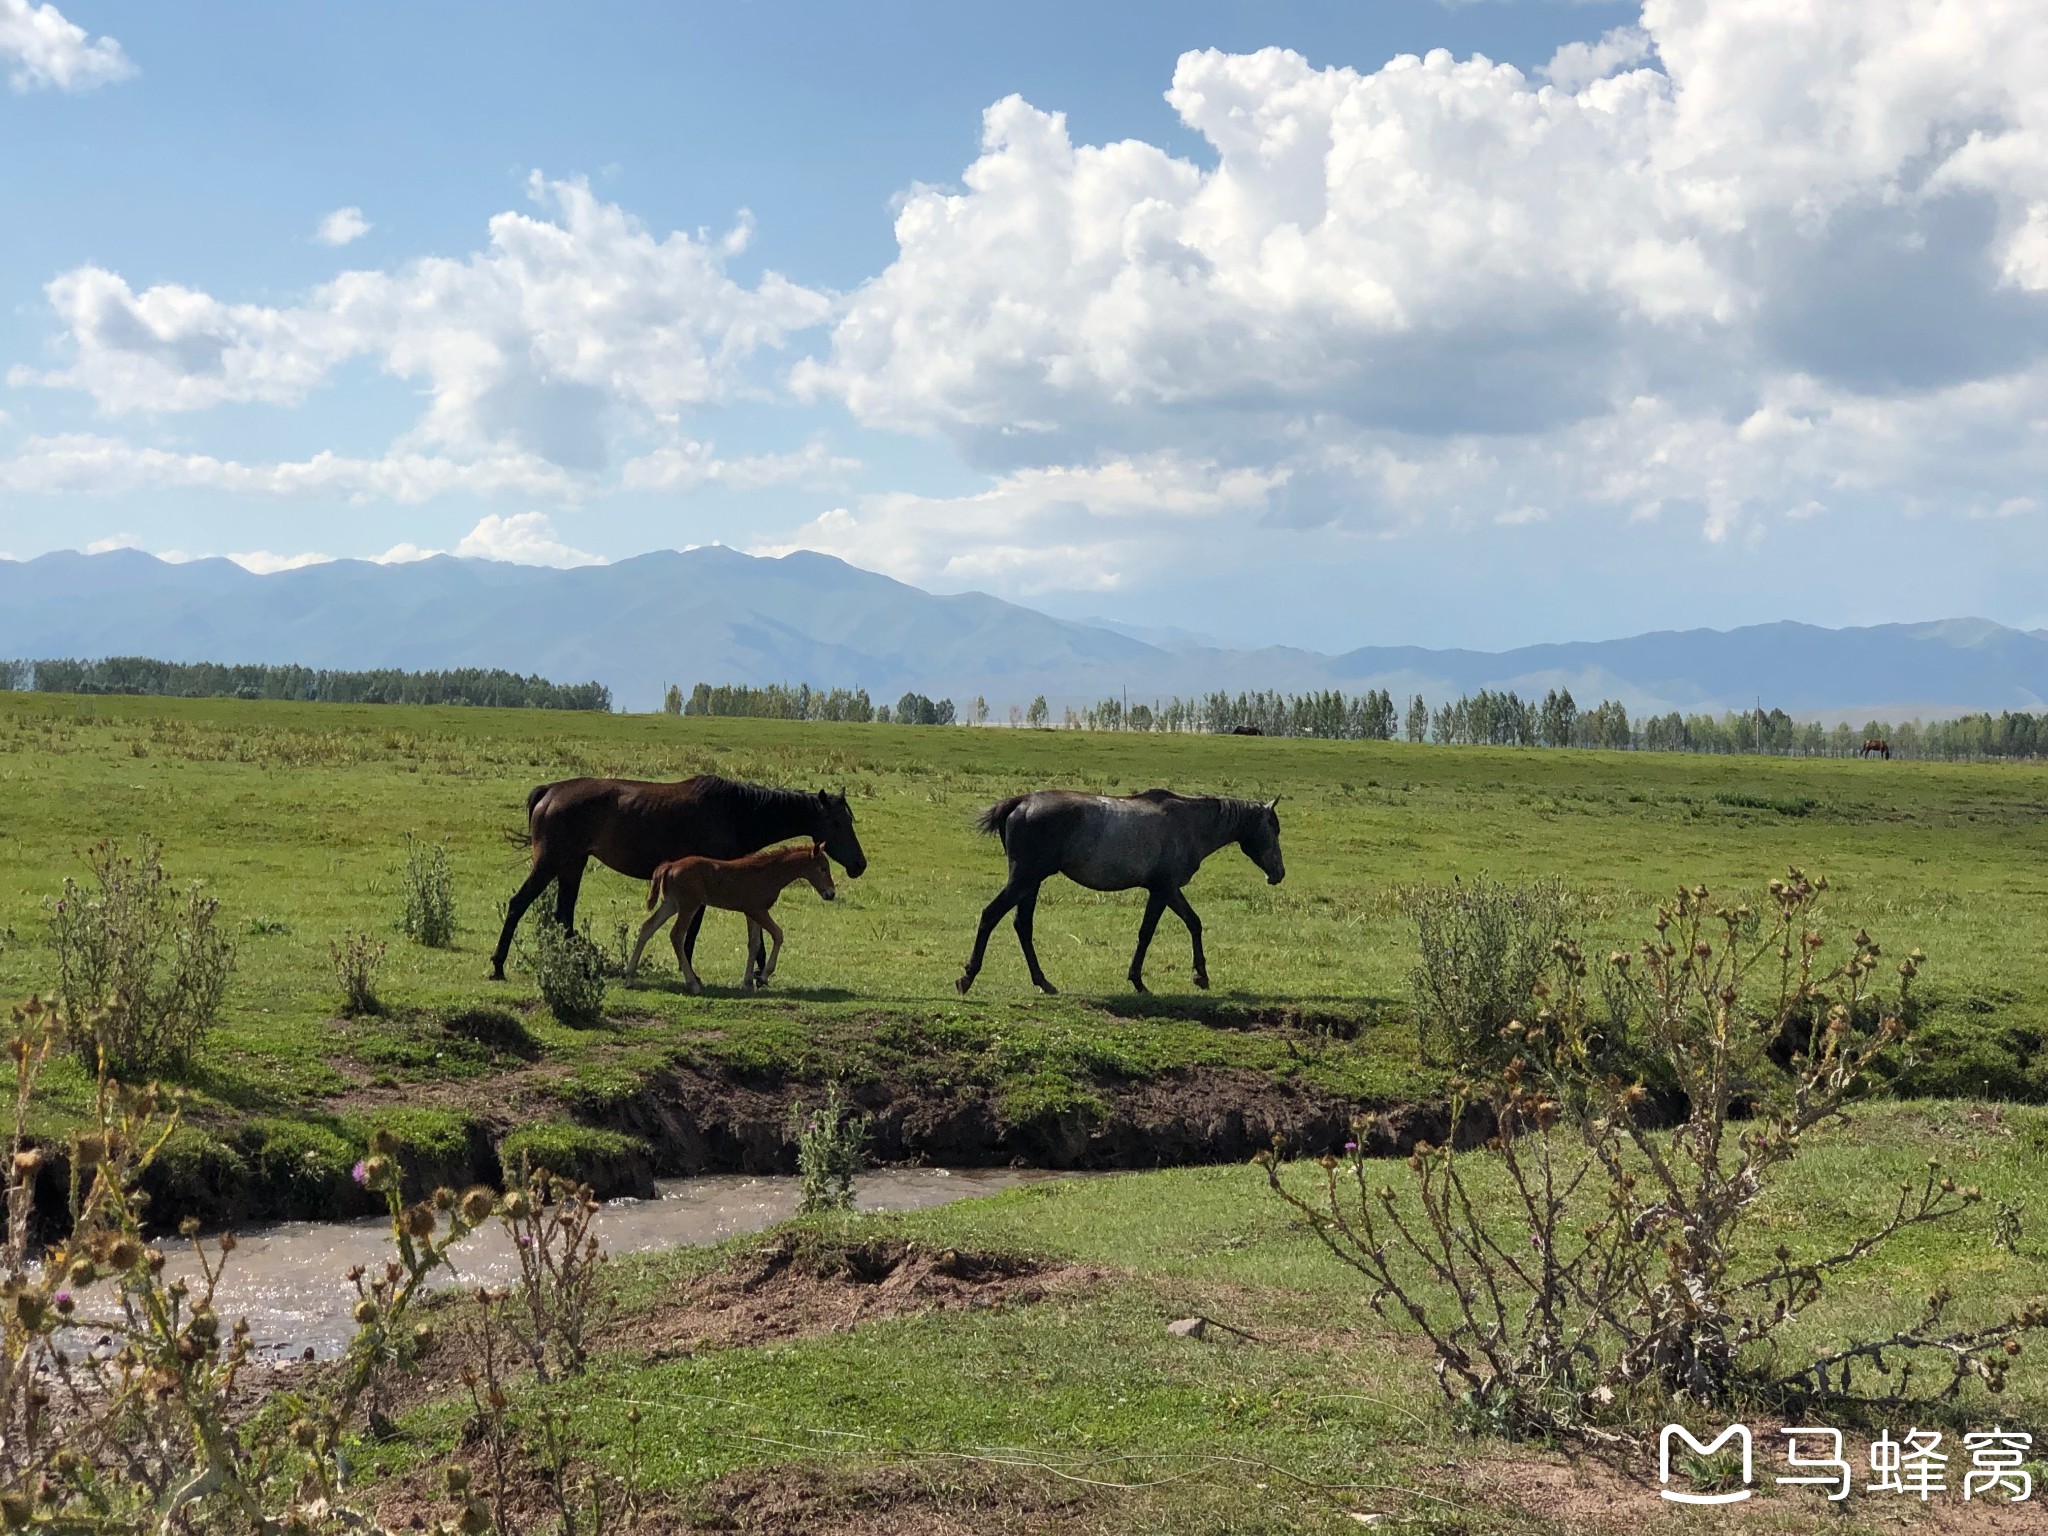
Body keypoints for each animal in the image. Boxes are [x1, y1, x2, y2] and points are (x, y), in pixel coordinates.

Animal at [625, 842, 836, 993]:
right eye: (822, 868)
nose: (831, 894)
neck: (768, 873)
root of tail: (670, 865)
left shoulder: (751, 913)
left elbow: (754, 944)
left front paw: (748, 983)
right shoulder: (758, 910)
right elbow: (778, 934)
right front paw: (763, 976)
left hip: (671, 903)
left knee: (647, 927)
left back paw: (629, 977)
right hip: (688, 905)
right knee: (676, 935)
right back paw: (693, 983)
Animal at [956, 789, 1285, 996]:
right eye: (1274, 829)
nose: (1279, 873)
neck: (1188, 824)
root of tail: (1022, 802)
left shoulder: (1165, 890)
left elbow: (1185, 924)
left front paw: (1196, 975)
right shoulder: (1163, 889)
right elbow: (1155, 931)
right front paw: (1143, 980)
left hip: (1031, 882)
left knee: (1022, 925)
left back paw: (1043, 982)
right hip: (1024, 878)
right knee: (990, 915)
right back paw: (968, 977)